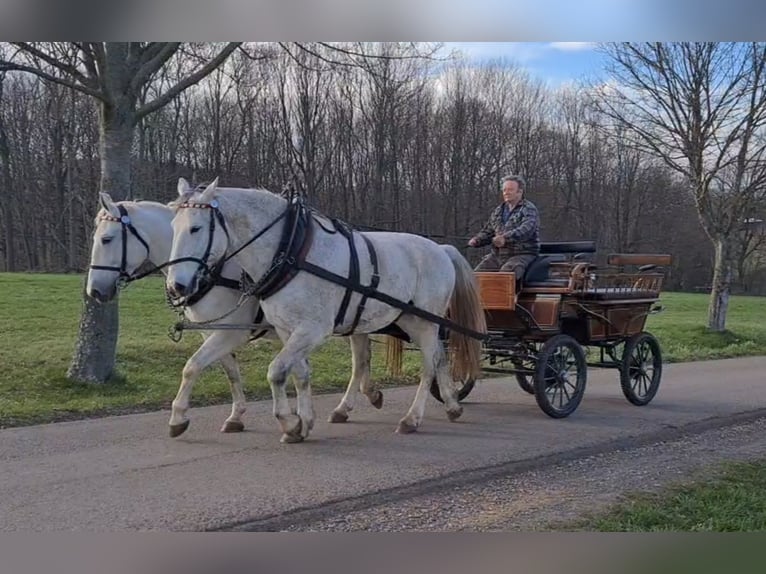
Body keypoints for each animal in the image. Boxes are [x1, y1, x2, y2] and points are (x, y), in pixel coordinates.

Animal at [86, 181, 384, 440]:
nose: (95, 291)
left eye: (107, 239)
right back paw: (358, 399)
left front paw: (178, 417)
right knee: (362, 357)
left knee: (359, 361)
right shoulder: (214, 331)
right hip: (356, 320)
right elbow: (231, 372)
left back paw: (349, 404)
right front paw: (237, 416)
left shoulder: (233, 332)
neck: (213, 269)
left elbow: (192, 366)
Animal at [166, 180, 486, 446]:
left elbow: (275, 371)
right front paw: (303, 422)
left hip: (423, 322)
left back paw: (412, 418)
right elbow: (297, 374)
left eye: (196, 228)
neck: (289, 252)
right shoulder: (287, 330)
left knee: (429, 365)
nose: (176, 286)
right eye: (173, 226)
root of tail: (441, 248)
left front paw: (289, 422)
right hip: (403, 321)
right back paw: (451, 405)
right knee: (432, 358)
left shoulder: (311, 329)